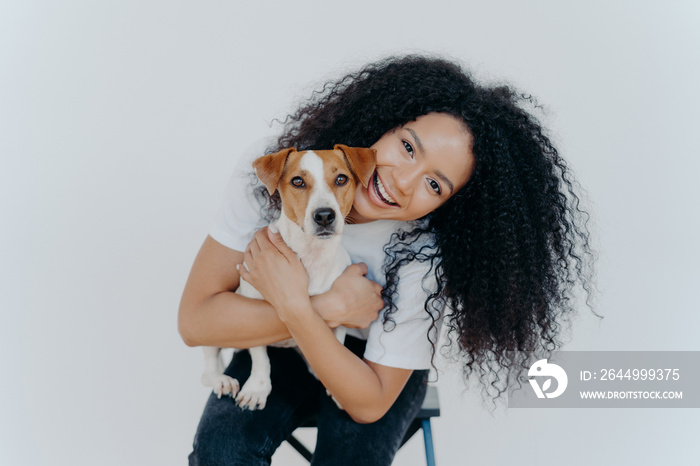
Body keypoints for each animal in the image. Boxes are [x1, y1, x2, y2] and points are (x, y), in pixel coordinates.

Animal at [200, 144, 378, 410]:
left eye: (341, 179)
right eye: (297, 181)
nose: (324, 215)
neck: (312, 255)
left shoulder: (339, 320)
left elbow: (335, 345)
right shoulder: (250, 311)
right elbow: (261, 358)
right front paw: (257, 389)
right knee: (208, 366)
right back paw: (221, 380)